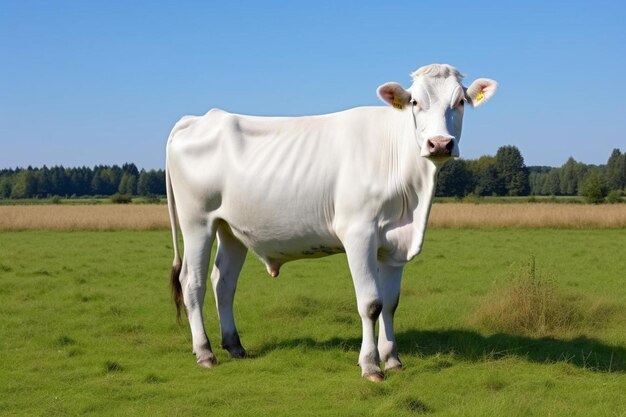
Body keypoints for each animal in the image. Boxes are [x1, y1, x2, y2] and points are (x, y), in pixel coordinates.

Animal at [167, 62, 498, 380]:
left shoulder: (394, 243)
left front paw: (392, 359)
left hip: (231, 229)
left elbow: (391, 303)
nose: (439, 143)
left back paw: (235, 346)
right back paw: (205, 352)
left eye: (460, 102)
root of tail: (198, 119)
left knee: (223, 283)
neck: (413, 197)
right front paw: (370, 365)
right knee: (192, 282)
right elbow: (371, 303)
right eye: (415, 101)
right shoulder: (359, 234)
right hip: (197, 222)